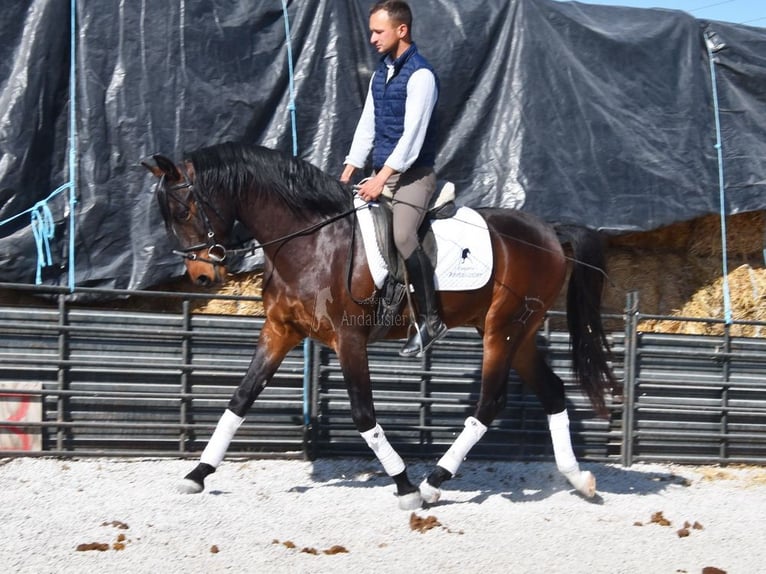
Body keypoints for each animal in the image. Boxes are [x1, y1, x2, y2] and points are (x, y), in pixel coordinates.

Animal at [144, 142, 620, 510]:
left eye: (184, 210)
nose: (201, 277)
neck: (310, 240)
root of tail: (548, 230)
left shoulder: (348, 339)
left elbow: (363, 414)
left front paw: (404, 485)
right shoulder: (280, 330)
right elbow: (239, 400)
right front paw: (198, 473)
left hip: (502, 329)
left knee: (489, 404)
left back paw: (432, 483)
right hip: (515, 333)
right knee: (552, 392)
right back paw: (579, 479)